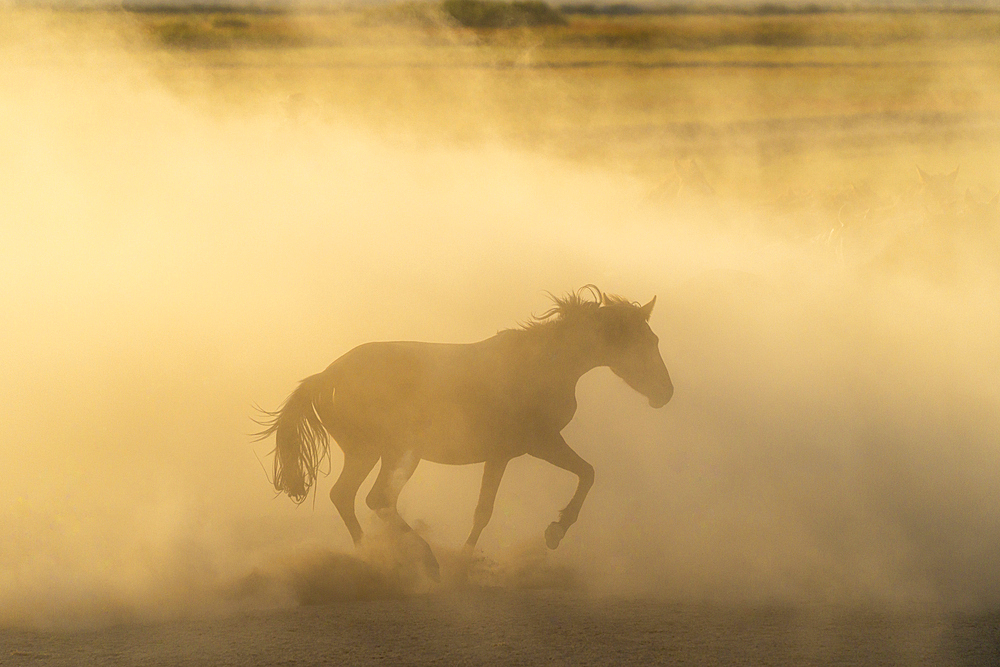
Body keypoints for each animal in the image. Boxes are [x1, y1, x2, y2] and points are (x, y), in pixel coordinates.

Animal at [254, 288, 676, 580]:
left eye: (655, 341)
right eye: (644, 342)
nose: (665, 393)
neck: (544, 364)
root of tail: (325, 376)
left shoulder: (504, 454)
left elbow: (485, 511)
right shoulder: (540, 443)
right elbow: (586, 473)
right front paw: (553, 532)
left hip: (381, 453)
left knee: (356, 498)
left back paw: (376, 558)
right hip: (386, 451)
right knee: (370, 498)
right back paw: (416, 561)